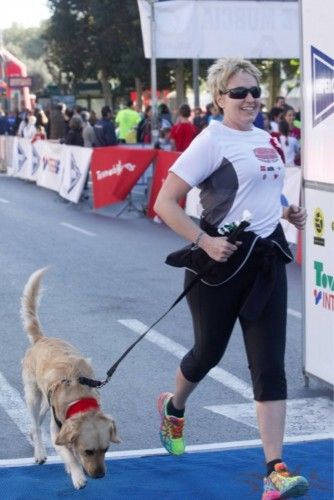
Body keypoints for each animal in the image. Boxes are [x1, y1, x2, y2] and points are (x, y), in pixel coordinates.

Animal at [21, 268, 120, 490]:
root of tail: (42, 339)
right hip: (32, 395)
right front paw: (77, 474)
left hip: (46, 401)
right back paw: (39, 451)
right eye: (88, 452)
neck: (79, 398)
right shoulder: (56, 431)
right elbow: (69, 454)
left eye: (106, 449)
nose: (100, 475)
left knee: (39, 418)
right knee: (36, 422)